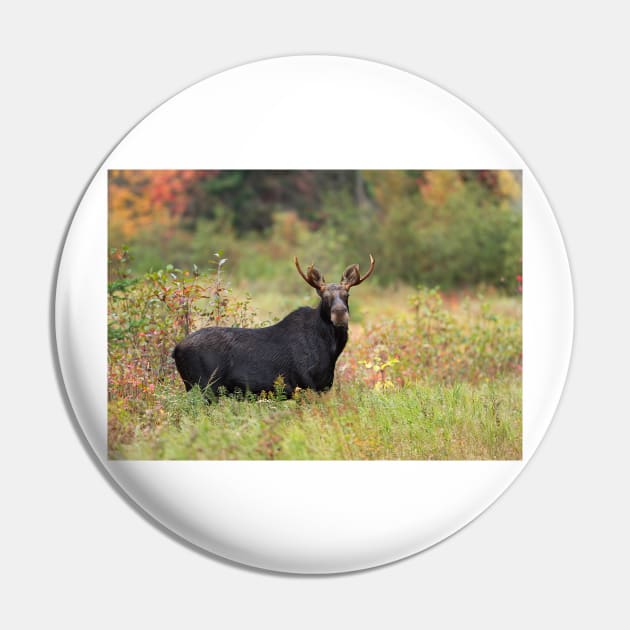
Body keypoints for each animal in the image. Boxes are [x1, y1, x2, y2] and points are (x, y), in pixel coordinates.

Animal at [173, 256, 376, 400]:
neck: (331, 349)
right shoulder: (306, 385)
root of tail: (175, 350)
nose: (340, 312)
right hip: (202, 386)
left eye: (347, 294)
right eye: (324, 295)